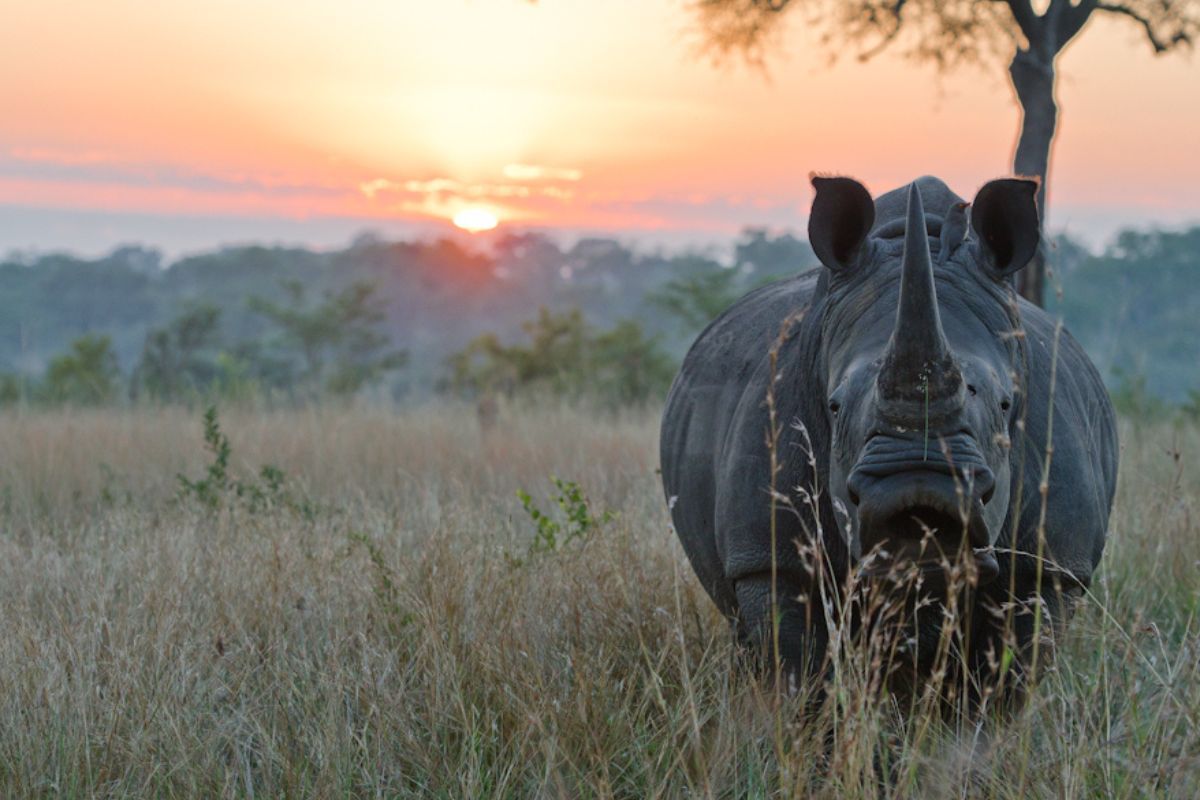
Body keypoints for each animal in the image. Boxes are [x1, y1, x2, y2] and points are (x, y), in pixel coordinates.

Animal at [660, 175, 1118, 698]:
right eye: (834, 407)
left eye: (1006, 405)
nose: (920, 499)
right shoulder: (771, 559)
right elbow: (797, 673)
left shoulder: (1049, 569)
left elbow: (1006, 680)